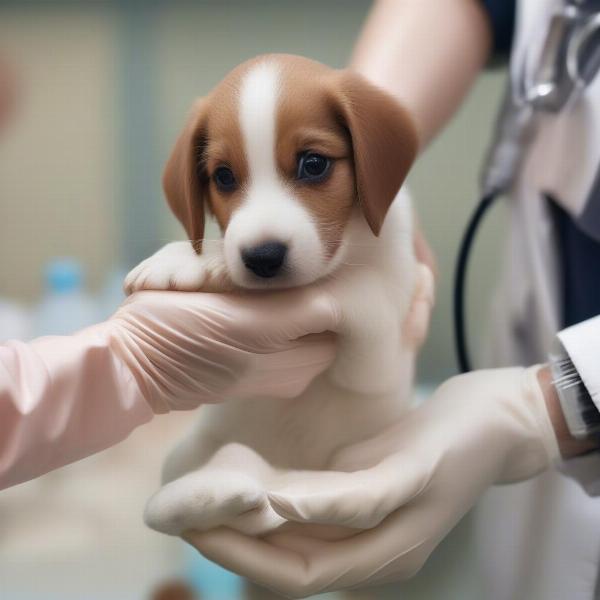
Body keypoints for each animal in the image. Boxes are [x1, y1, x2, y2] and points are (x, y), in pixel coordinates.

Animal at [126, 56, 434, 540]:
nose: (262, 257)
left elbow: (352, 288)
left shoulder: (380, 355)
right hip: (192, 452)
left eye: (314, 164)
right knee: (197, 503)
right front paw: (187, 256)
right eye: (223, 176)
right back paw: (217, 489)